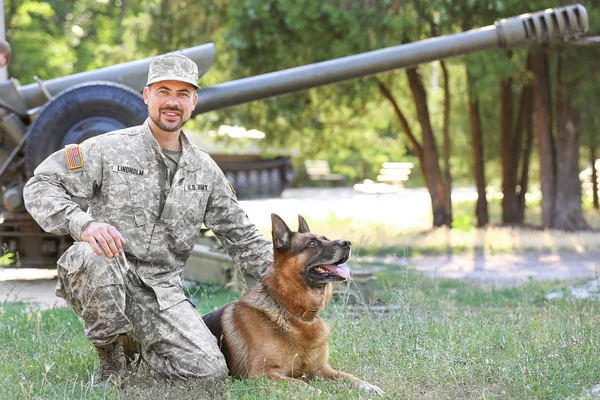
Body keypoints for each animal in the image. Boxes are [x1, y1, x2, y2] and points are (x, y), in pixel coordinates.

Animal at [203, 214, 384, 396]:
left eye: (325, 239)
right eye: (311, 243)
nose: (348, 243)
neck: (291, 310)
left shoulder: (320, 369)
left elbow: (347, 376)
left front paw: (368, 386)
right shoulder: (262, 373)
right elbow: (300, 384)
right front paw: (321, 393)